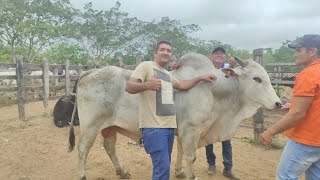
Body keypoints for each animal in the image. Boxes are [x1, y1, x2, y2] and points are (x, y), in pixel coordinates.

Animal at [67, 52, 280, 179]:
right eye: (257, 78)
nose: (278, 103)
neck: (215, 91)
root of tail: (90, 71)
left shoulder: (182, 130)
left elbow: (180, 152)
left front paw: (179, 172)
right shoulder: (191, 130)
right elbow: (190, 156)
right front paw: (191, 175)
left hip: (110, 126)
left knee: (109, 147)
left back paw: (122, 172)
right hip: (91, 126)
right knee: (82, 148)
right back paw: (82, 174)